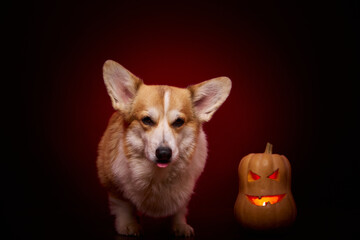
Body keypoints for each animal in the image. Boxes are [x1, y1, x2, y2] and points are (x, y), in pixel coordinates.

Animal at [96, 60, 231, 236]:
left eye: (179, 122)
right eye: (147, 120)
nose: (164, 154)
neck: (157, 175)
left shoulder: (184, 192)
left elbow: (179, 209)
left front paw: (180, 225)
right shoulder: (113, 183)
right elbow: (123, 206)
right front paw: (128, 225)